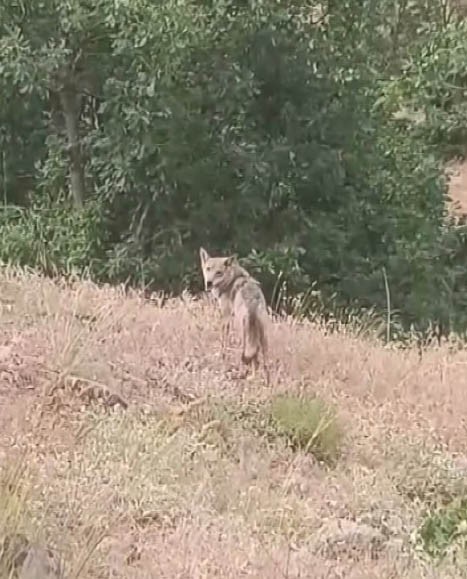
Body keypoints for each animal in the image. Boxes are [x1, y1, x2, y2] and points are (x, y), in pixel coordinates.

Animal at [198, 246, 270, 386]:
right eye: (208, 269)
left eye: (219, 273)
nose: (209, 283)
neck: (231, 280)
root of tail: (253, 303)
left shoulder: (225, 317)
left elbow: (223, 342)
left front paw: (221, 356)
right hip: (262, 338)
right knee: (261, 361)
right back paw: (262, 381)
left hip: (242, 333)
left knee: (245, 357)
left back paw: (241, 375)